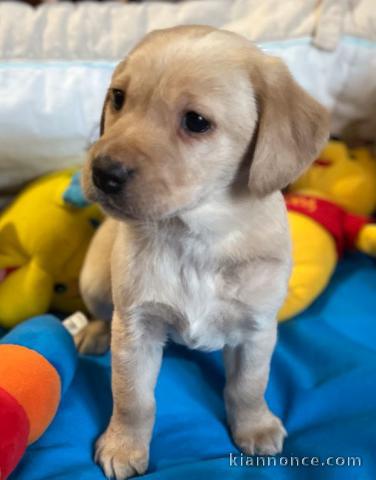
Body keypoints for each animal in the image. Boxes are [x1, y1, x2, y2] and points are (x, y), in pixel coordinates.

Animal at [79, 25, 328, 480]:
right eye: (118, 97)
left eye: (196, 122)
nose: (102, 173)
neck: (195, 236)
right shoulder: (136, 327)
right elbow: (133, 398)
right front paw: (124, 446)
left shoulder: (257, 330)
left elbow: (248, 387)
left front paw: (255, 426)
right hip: (96, 283)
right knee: (101, 311)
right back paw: (92, 331)